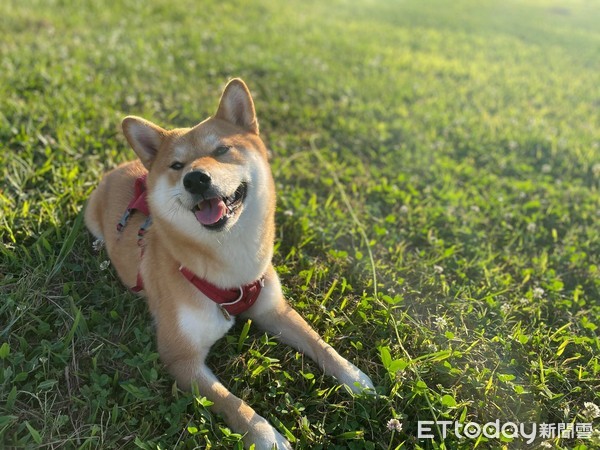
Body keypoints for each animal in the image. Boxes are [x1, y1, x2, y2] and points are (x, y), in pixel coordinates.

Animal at [84, 79, 376, 448]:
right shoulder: (181, 357)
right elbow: (231, 403)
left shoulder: (272, 309)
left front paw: (353, 377)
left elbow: (316, 341)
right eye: (177, 166)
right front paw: (267, 437)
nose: (195, 178)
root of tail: (120, 167)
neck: (231, 264)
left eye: (222, 150)